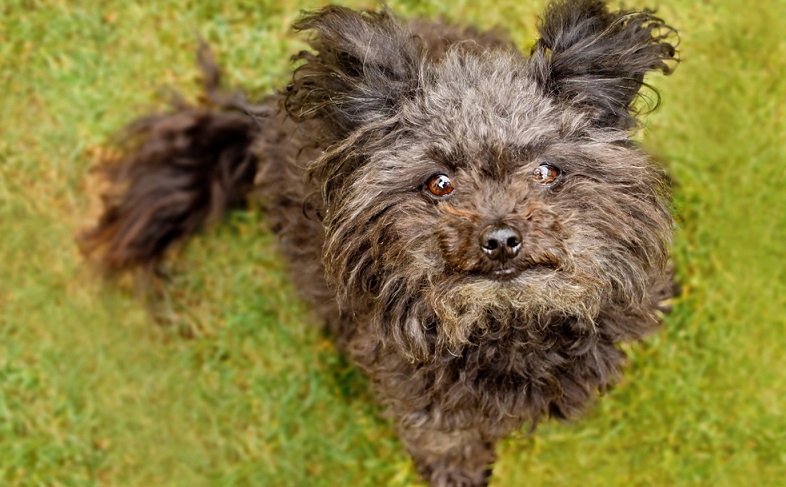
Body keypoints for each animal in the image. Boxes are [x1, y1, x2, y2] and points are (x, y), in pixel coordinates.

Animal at [82, 1, 676, 486]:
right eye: (439, 183)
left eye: (548, 171)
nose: (502, 239)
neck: (507, 323)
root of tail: (261, 120)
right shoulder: (413, 383)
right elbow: (443, 436)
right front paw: (458, 473)